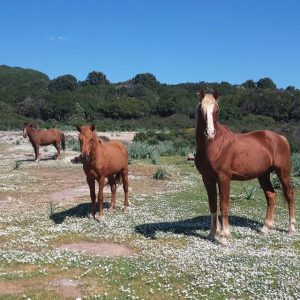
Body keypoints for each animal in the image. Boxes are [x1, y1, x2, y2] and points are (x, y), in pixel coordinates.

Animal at [195, 89, 296, 246]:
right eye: (201, 109)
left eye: (216, 110)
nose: (210, 133)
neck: (214, 146)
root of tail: (281, 138)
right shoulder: (207, 179)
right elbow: (212, 205)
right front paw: (212, 234)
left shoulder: (224, 178)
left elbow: (224, 205)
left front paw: (224, 237)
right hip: (263, 175)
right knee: (271, 195)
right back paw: (265, 228)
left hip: (283, 172)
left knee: (290, 194)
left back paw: (291, 228)